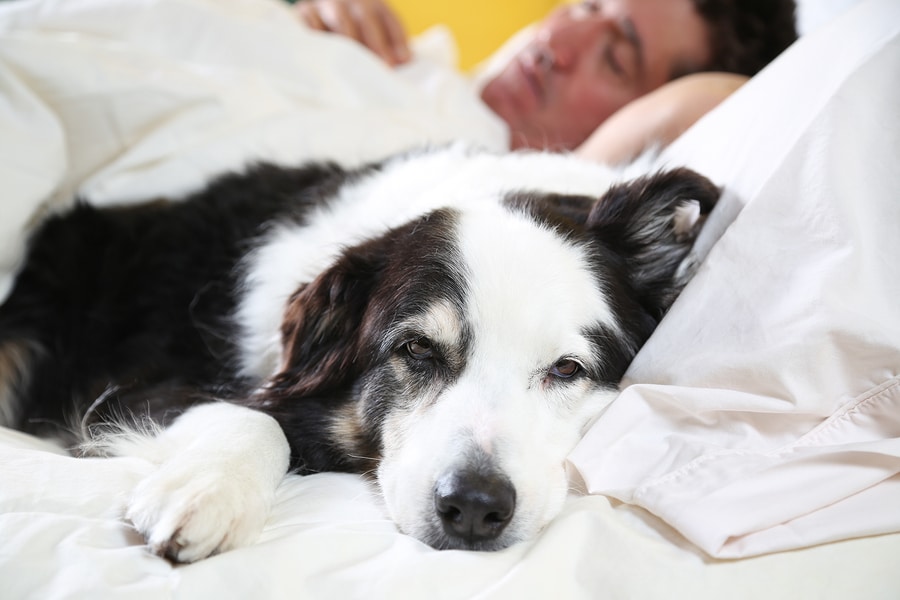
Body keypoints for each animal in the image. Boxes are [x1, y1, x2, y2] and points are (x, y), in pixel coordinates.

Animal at [0, 145, 716, 564]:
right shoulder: (137, 384)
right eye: (416, 349)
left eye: (568, 370)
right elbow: (256, 417)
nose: (475, 508)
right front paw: (207, 491)